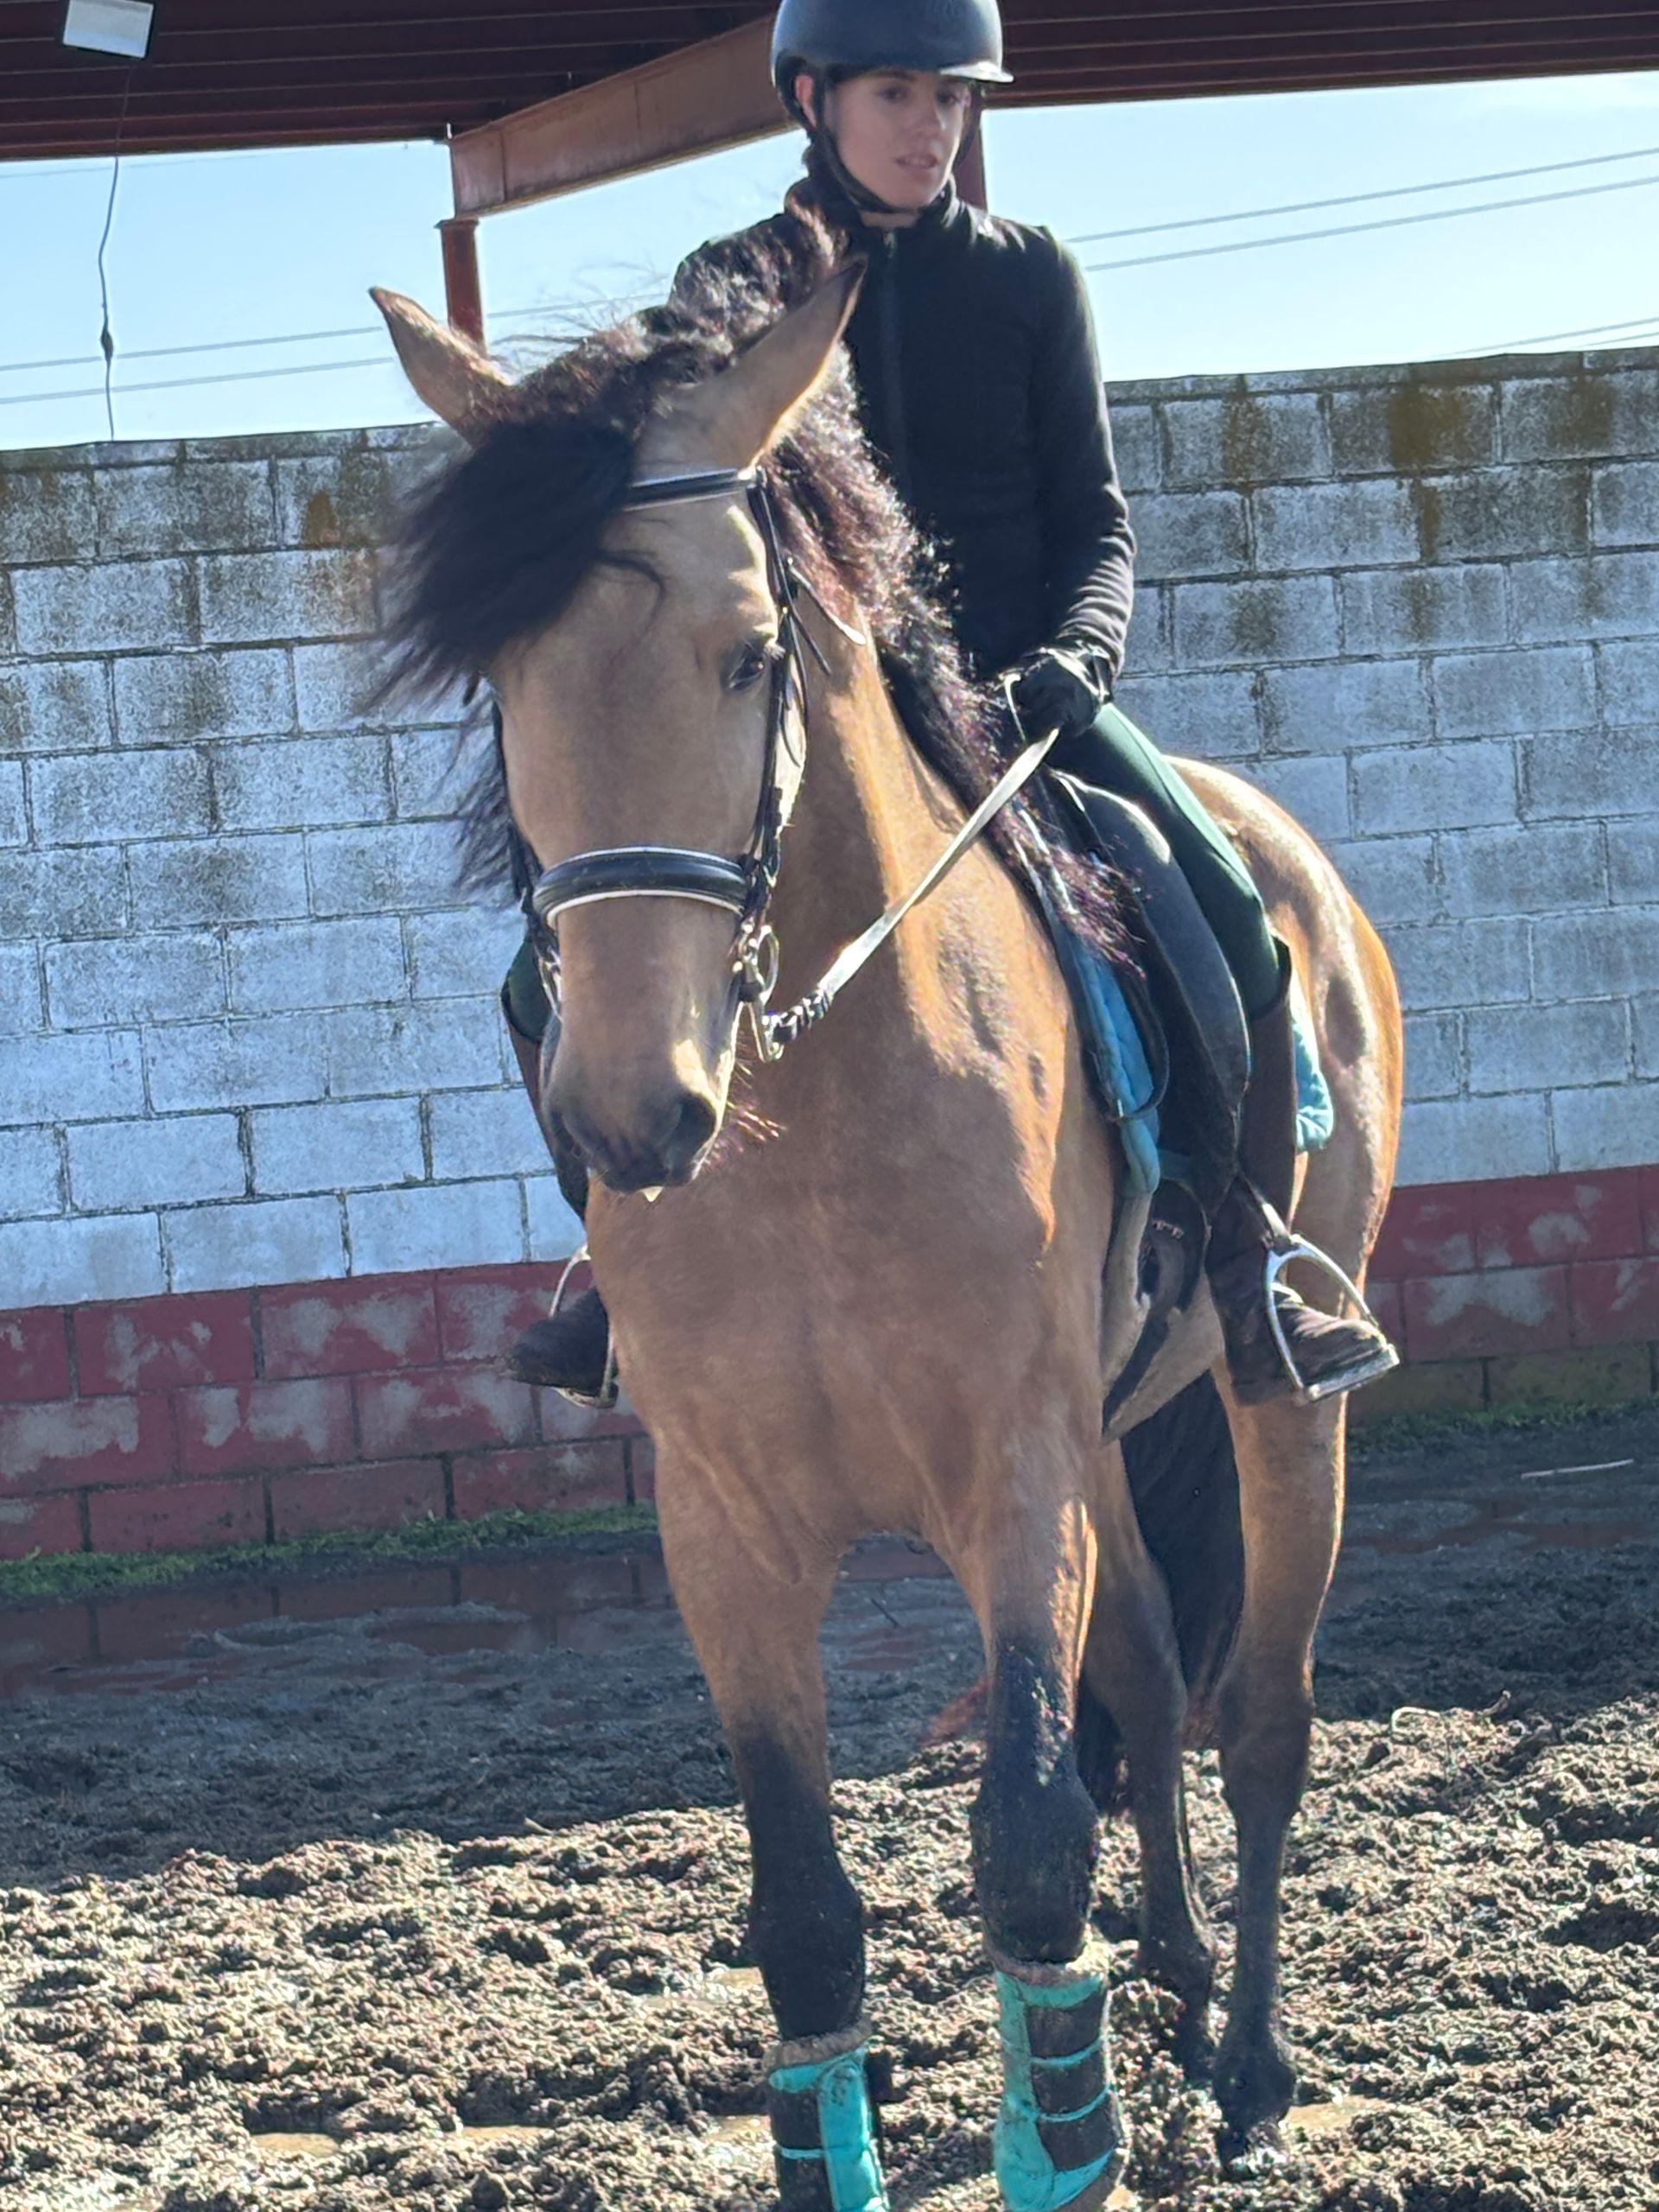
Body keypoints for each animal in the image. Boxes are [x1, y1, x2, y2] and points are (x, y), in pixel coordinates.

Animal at [372, 238, 1401, 2210]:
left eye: (750, 652)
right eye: (504, 678)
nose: (633, 1112)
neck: (816, 1122)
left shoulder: (1010, 1473)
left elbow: (1028, 1840)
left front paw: (1070, 2133)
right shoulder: (727, 1527)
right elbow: (803, 1911)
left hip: (1275, 1399)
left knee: (1263, 1720)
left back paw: (1248, 2057)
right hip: (1110, 1435)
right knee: (1149, 1662)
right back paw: (1171, 1968)